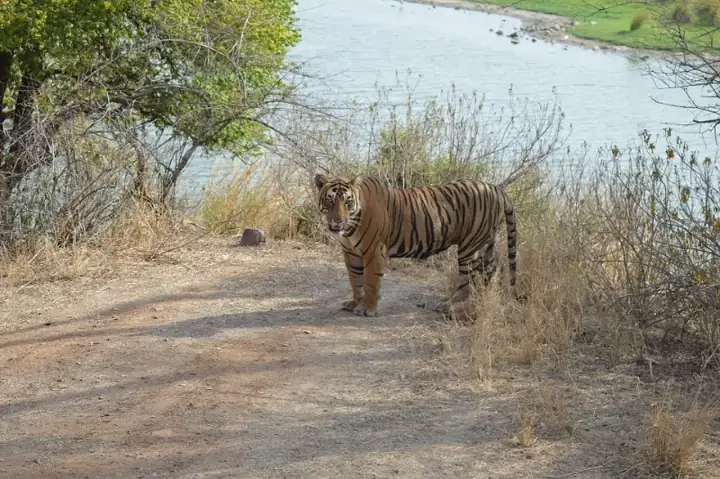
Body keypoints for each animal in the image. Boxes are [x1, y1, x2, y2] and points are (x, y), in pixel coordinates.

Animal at [314, 173, 524, 317]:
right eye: (330, 200)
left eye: (348, 202)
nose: (338, 221)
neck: (351, 226)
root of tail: (497, 188)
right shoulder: (351, 252)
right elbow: (355, 280)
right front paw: (355, 303)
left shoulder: (374, 252)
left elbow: (370, 283)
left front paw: (367, 309)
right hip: (486, 242)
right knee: (491, 269)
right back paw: (481, 299)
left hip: (470, 246)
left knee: (468, 279)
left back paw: (449, 306)